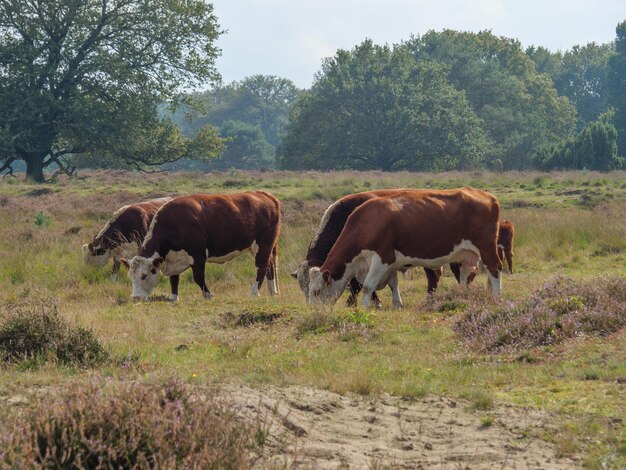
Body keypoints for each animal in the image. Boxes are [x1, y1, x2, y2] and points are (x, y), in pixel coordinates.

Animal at [120, 191, 280, 302]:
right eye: (130, 276)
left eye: (144, 275)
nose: (135, 297)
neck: (173, 224)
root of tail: (265, 195)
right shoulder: (173, 258)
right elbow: (174, 279)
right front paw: (173, 298)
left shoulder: (198, 256)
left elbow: (198, 278)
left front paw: (208, 295)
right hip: (267, 246)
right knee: (270, 266)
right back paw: (273, 292)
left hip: (263, 244)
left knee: (261, 267)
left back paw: (254, 292)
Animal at [308, 188, 502, 308]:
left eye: (316, 291)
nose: (314, 311)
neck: (368, 222)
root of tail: (486, 194)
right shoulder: (391, 262)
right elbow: (393, 283)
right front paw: (397, 304)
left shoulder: (382, 258)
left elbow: (368, 286)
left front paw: (363, 307)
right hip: (465, 254)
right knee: (464, 274)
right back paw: (462, 297)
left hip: (486, 248)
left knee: (495, 269)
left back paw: (497, 298)